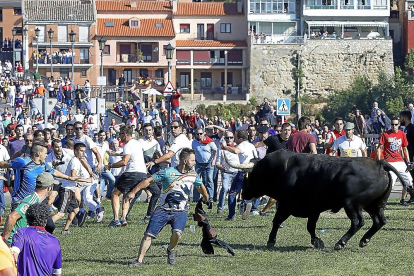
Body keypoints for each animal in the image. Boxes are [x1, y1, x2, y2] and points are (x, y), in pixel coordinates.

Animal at [223, 150, 408, 249]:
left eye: (249, 176)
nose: (244, 194)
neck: (281, 169)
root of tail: (379, 163)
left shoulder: (286, 204)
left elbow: (277, 221)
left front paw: (271, 240)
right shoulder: (313, 208)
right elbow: (310, 226)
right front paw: (316, 241)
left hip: (352, 204)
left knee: (358, 222)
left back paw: (341, 243)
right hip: (375, 205)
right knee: (379, 221)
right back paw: (364, 240)